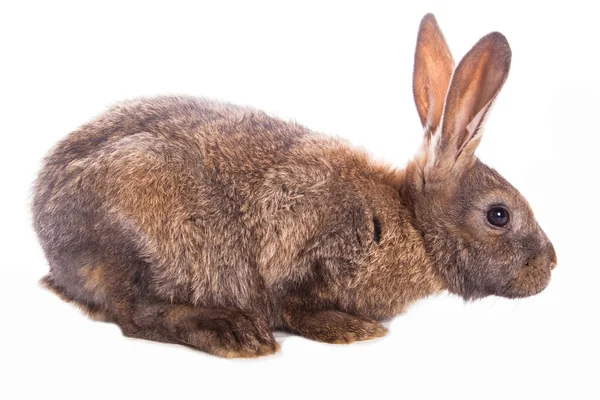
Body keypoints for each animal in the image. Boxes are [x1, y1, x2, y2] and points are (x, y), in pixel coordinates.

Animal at [32, 14, 556, 358]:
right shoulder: (312, 246)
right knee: (134, 315)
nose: (551, 265)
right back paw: (235, 334)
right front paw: (353, 331)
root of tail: (51, 243)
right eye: (499, 214)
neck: (410, 221)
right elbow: (295, 302)